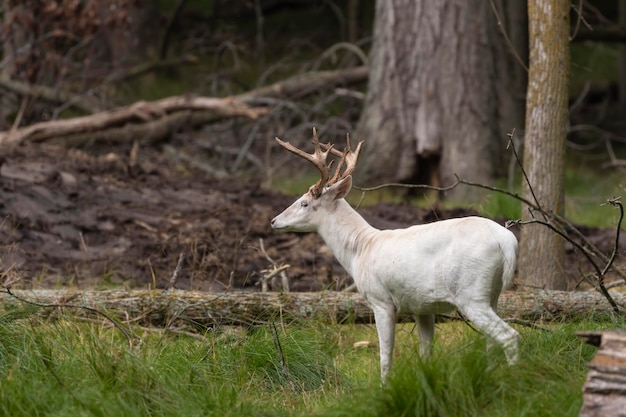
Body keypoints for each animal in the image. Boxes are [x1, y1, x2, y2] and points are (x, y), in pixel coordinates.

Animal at [270, 130, 520, 380]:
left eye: (304, 203)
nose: (273, 221)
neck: (361, 248)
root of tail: (507, 241)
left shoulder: (380, 299)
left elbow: (385, 355)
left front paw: (384, 385)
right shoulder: (422, 306)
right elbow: (426, 353)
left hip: (470, 293)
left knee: (509, 336)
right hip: (491, 294)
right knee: (491, 340)